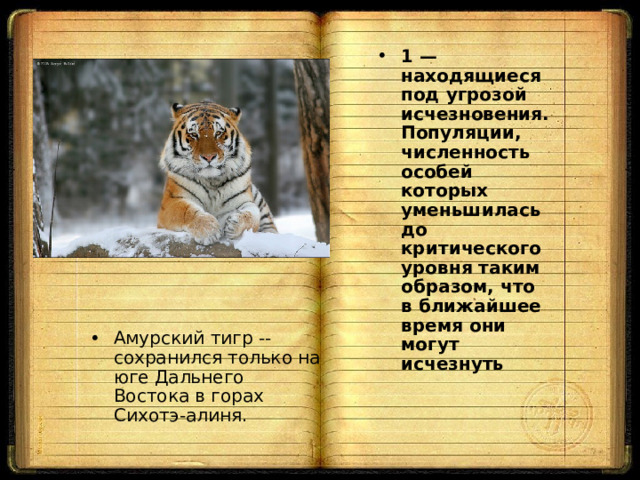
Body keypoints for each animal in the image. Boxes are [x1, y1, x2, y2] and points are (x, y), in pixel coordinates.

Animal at [157, 101, 277, 245]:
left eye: (218, 133)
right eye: (194, 134)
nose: (209, 157)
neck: (211, 180)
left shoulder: (244, 200)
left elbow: (253, 214)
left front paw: (234, 224)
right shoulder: (171, 202)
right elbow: (186, 211)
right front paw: (208, 229)